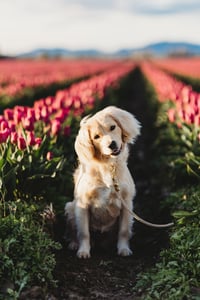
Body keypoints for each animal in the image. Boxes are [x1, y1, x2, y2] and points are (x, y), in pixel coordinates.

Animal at [65, 105, 140, 258]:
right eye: (96, 137)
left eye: (113, 127)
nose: (112, 144)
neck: (108, 166)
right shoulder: (82, 205)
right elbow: (84, 233)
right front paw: (83, 251)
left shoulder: (127, 204)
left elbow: (124, 231)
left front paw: (123, 249)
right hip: (70, 207)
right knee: (74, 231)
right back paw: (74, 244)